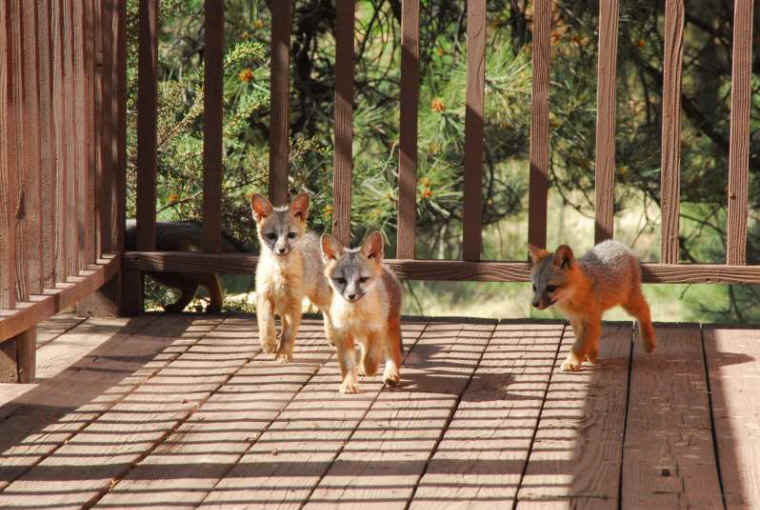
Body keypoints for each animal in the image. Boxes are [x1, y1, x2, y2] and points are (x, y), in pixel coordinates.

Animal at [251, 192, 333, 362]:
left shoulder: (293, 302)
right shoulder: (264, 295)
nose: (281, 249)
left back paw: (332, 335)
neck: (279, 272)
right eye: (271, 236)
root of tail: (313, 237)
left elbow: (288, 334)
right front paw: (268, 342)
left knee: (329, 310)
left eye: (291, 235)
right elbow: (266, 322)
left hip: (318, 296)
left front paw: (283, 354)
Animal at [320, 231, 403, 394]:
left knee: (394, 355)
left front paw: (369, 369)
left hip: (390, 329)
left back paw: (391, 374)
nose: (351, 296)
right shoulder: (343, 334)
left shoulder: (377, 330)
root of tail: (385, 267)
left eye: (363, 279)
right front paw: (349, 383)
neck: (355, 314)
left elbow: (371, 357)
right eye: (341, 280)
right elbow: (347, 364)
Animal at [528, 240, 656, 371]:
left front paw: (572, 361)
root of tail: (617, 243)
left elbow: (579, 345)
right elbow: (584, 339)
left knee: (645, 310)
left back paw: (649, 342)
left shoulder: (589, 320)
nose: (534, 304)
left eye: (551, 288)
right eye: (534, 287)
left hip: (630, 303)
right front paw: (590, 355)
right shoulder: (577, 320)